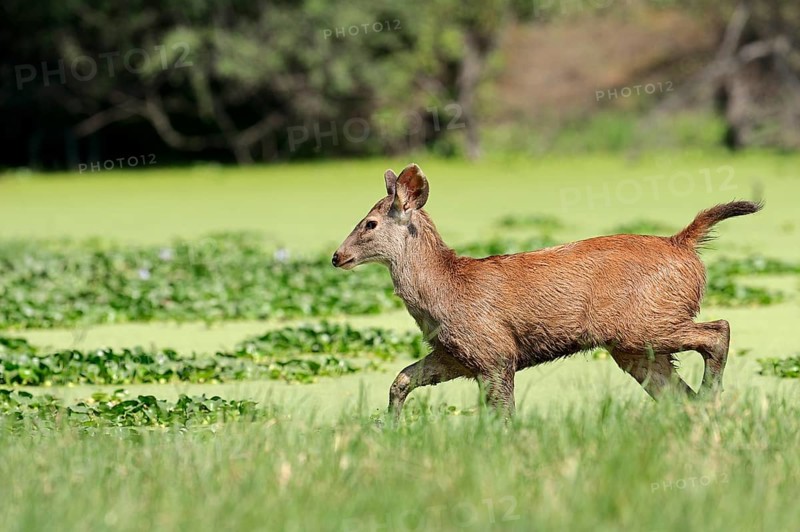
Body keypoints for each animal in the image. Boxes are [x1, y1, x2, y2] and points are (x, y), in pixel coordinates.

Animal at [332, 163, 762, 419]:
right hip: (634, 346)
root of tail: (683, 244)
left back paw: (713, 396)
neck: (446, 289)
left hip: (644, 322)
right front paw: (389, 427)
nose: (337, 256)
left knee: (719, 330)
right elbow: (401, 379)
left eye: (369, 223)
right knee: (677, 393)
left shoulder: (495, 351)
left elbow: (503, 415)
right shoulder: (455, 354)